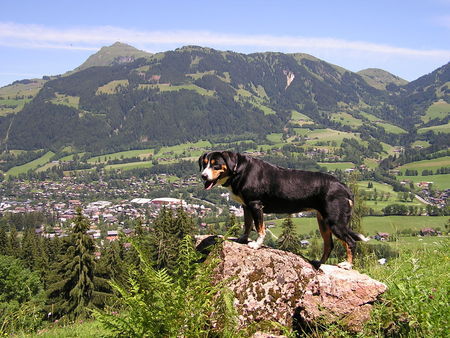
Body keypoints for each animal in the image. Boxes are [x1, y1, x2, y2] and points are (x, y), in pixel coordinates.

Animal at [200, 151, 370, 270]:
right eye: (204, 164)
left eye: (216, 164)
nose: (203, 176)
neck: (239, 170)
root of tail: (344, 187)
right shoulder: (246, 207)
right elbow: (248, 225)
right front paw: (242, 239)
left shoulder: (255, 205)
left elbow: (260, 228)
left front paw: (256, 245)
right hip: (323, 222)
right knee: (329, 245)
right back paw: (318, 264)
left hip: (335, 222)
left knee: (351, 242)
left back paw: (347, 265)